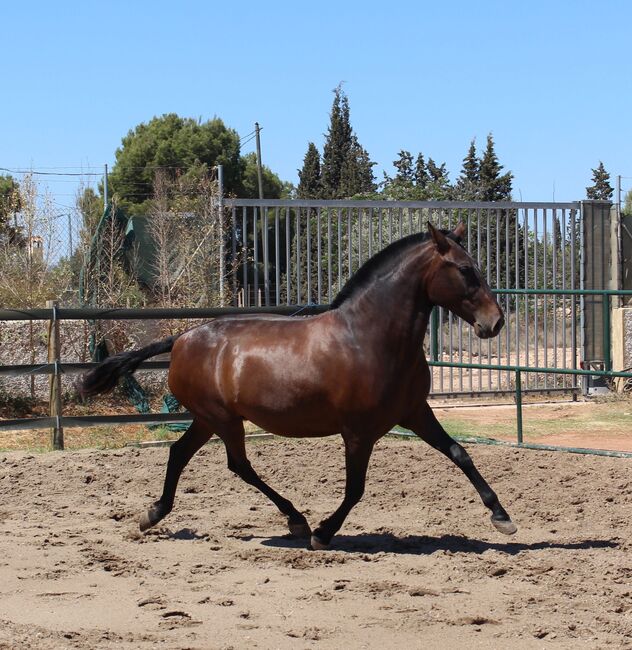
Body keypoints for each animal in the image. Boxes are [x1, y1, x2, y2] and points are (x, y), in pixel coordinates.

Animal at [79, 223, 516, 548]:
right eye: (465, 270)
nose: (495, 323)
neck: (369, 337)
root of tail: (183, 338)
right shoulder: (358, 432)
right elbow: (355, 488)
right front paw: (323, 533)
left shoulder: (414, 413)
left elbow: (460, 454)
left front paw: (502, 517)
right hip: (222, 419)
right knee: (239, 466)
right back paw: (297, 521)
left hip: (208, 419)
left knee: (179, 453)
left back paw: (153, 514)